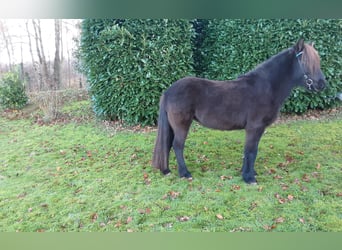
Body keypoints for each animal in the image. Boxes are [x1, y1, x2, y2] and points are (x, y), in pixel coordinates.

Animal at [152, 39, 326, 184]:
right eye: (306, 63)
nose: (322, 84)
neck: (266, 87)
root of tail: (168, 91)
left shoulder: (257, 129)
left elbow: (251, 151)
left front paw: (250, 173)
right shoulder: (254, 127)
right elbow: (251, 151)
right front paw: (249, 178)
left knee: (168, 144)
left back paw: (167, 170)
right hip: (182, 125)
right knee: (177, 146)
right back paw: (185, 173)